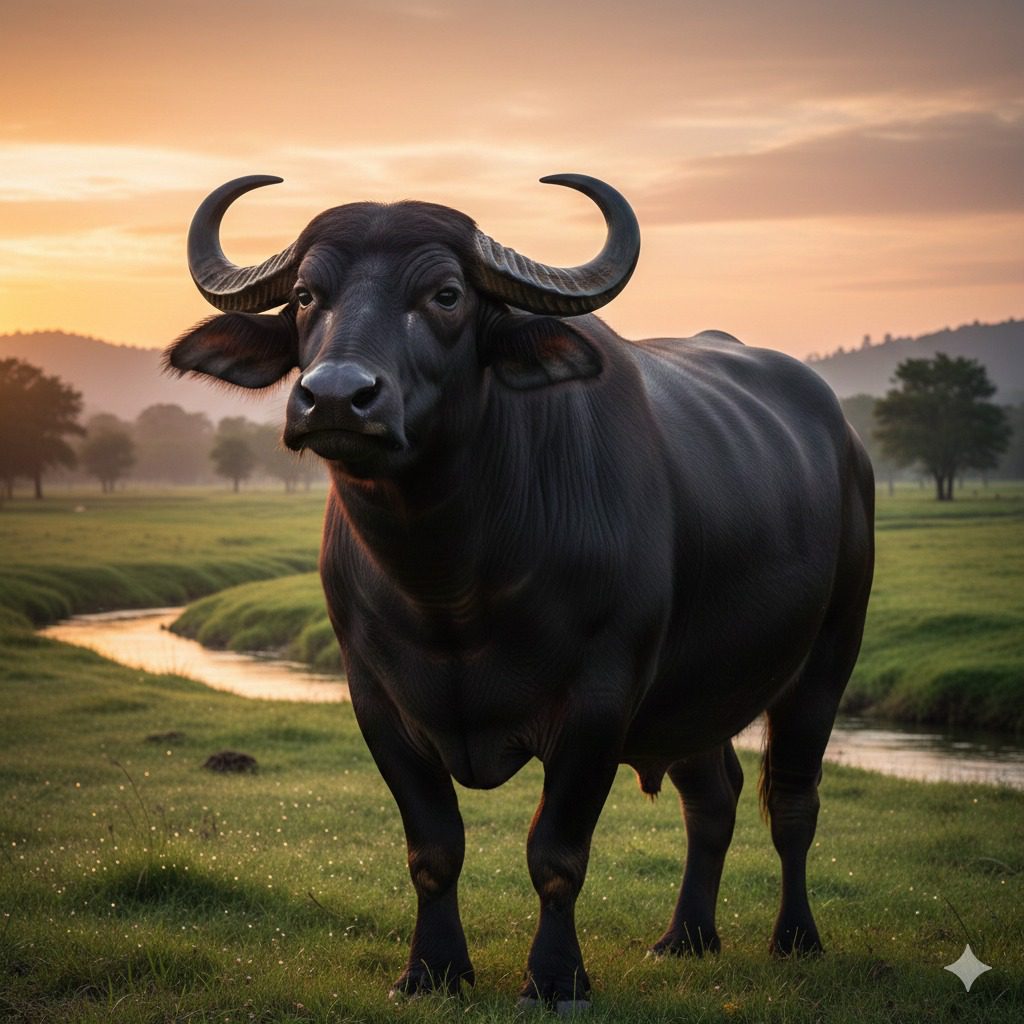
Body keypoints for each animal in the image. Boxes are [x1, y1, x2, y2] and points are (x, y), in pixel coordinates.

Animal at [168, 174, 874, 1010]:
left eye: (445, 295)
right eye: (308, 294)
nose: (336, 398)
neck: (452, 585)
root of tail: (846, 442)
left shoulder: (600, 702)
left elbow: (556, 853)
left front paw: (556, 977)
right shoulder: (376, 699)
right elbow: (434, 847)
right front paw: (432, 970)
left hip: (827, 658)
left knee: (793, 802)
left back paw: (795, 938)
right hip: (694, 694)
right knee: (713, 797)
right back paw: (686, 937)